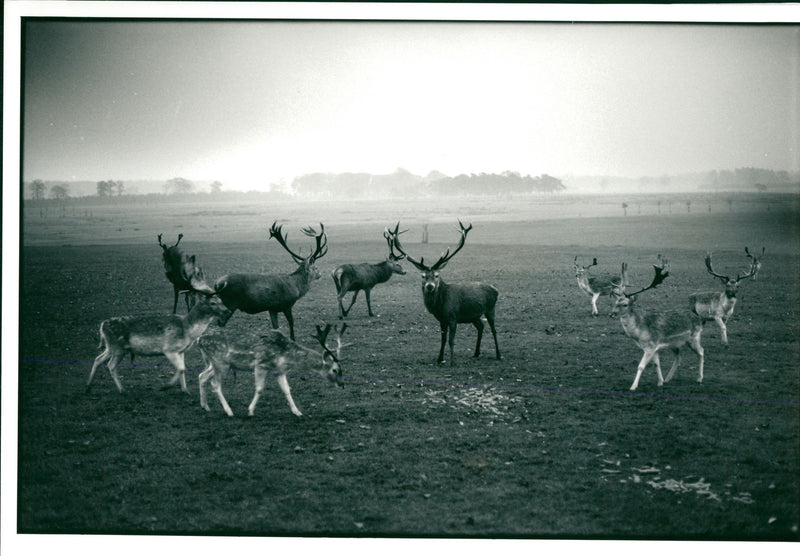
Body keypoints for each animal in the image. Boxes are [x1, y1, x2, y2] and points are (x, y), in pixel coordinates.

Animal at [388, 219, 500, 368]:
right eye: (423, 276)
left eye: (437, 275)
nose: (430, 286)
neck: (440, 306)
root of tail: (496, 290)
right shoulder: (442, 320)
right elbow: (443, 339)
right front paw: (439, 359)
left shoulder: (453, 317)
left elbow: (451, 340)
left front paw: (452, 361)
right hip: (474, 315)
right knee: (481, 326)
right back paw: (476, 353)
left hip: (490, 308)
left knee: (493, 329)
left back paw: (499, 355)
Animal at [608, 256, 704, 390]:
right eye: (615, 303)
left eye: (625, 304)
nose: (611, 314)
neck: (639, 334)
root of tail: (698, 318)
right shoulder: (654, 348)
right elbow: (656, 364)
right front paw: (660, 382)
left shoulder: (650, 346)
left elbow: (641, 366)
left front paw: (633, 386)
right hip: (674, 343)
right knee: (679, 357)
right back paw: (668, 379)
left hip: (694, 338)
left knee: (701, 351)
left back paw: (699, 378)